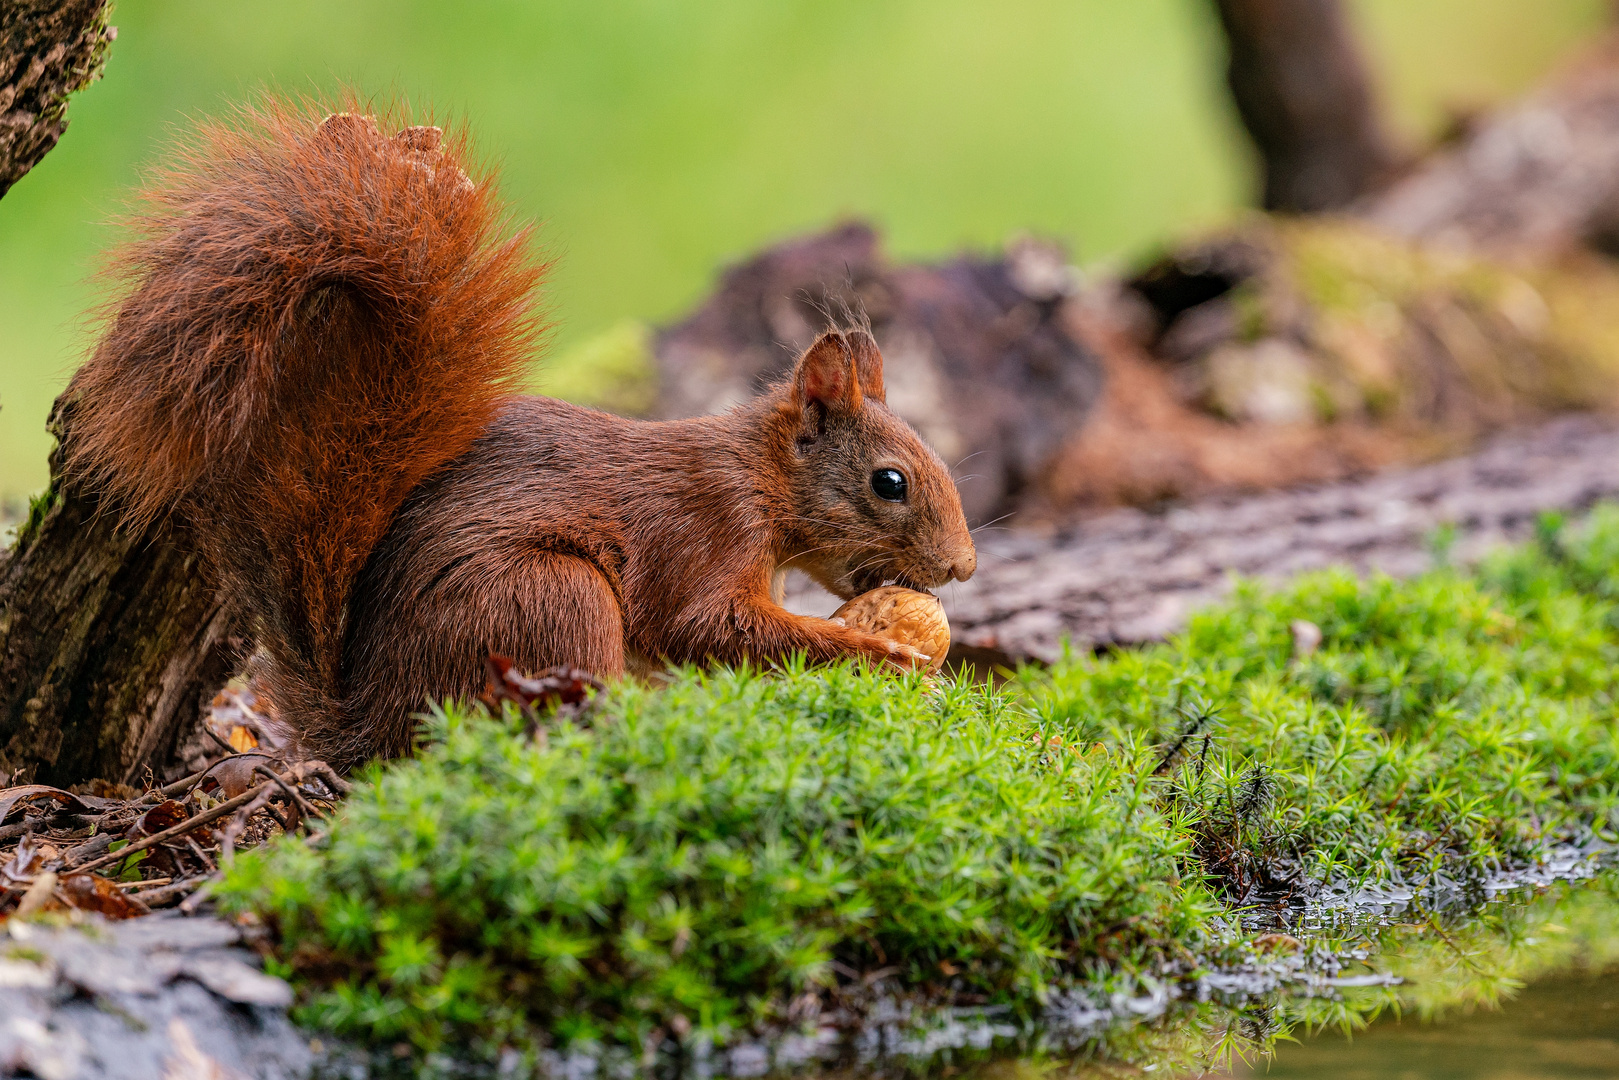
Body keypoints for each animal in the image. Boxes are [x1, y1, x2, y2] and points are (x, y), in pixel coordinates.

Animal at [63, 101, 971, 767]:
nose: (960, 568)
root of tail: (372, 726)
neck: (759, 475)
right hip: (550, 597)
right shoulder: (704, 531)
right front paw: (880, 654)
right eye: (889, 482)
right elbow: (710, 628)